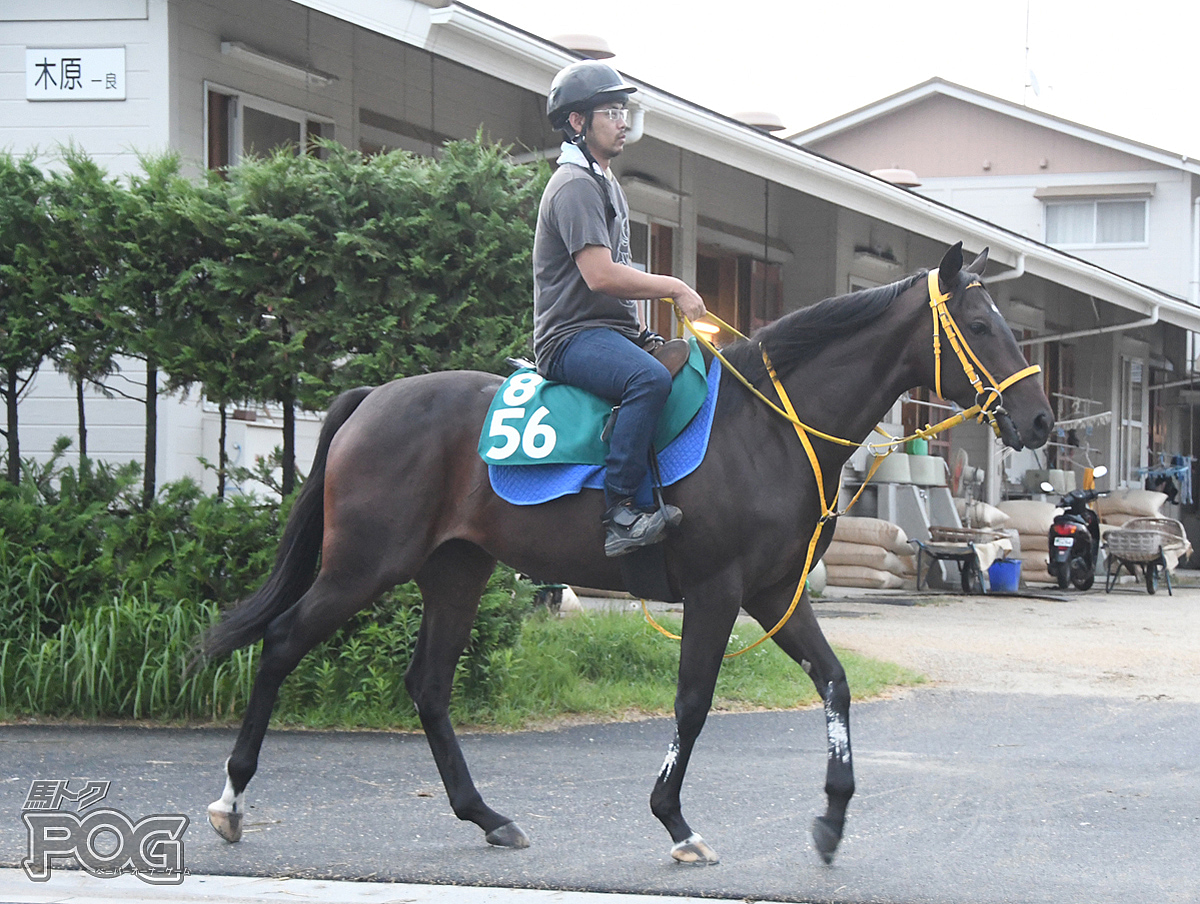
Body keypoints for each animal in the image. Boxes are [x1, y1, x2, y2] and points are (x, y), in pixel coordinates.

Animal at [204, 243, 1051, 864]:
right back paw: (232, 799)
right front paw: (675, 821)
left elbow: (836, 683)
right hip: (362, 566)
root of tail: (371, 399)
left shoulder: (775, 593)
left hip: (456, 571)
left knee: (429, 686)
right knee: (280, 644)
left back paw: (487, 816)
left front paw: (834, 816)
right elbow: (693, 702)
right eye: (981, 326)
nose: (1042, 419)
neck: (770, 427)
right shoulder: (718, 591)